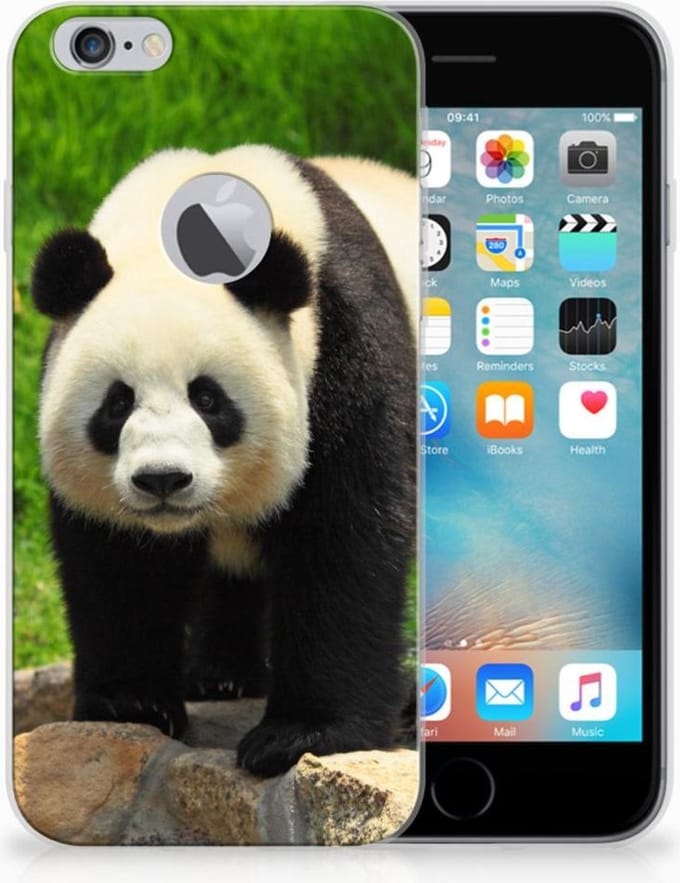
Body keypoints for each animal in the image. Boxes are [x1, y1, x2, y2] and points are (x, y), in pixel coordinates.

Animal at [32, 145, 417, 777]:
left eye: (208, 399)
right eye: (117, 402)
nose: (162, 479)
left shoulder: (346, 349)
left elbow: (345, 537)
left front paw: (302, 735)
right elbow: (119, 561)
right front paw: (131, 703)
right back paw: (220, 676)